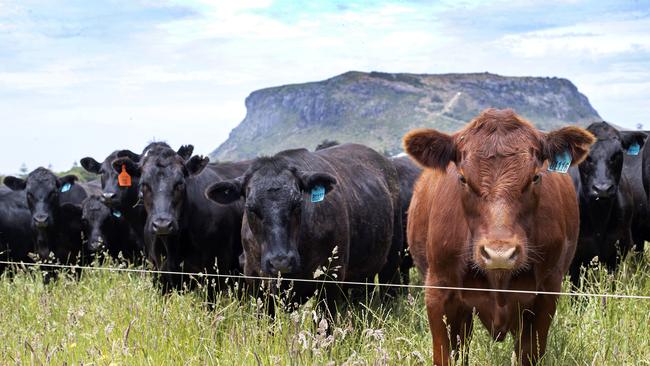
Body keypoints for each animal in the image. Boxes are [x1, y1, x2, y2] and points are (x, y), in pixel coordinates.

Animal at [205, 143, 402, 306]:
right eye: (250, 207)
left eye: (297, 203)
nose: (280, 261)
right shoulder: (256, 279)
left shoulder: (331, 278)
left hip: (392, 263)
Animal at [404, 108, 592, 366]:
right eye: (462, 178)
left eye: (536, 177)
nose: (499, 254)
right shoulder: (438, 292)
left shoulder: (546, 295)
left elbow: (528, 354)